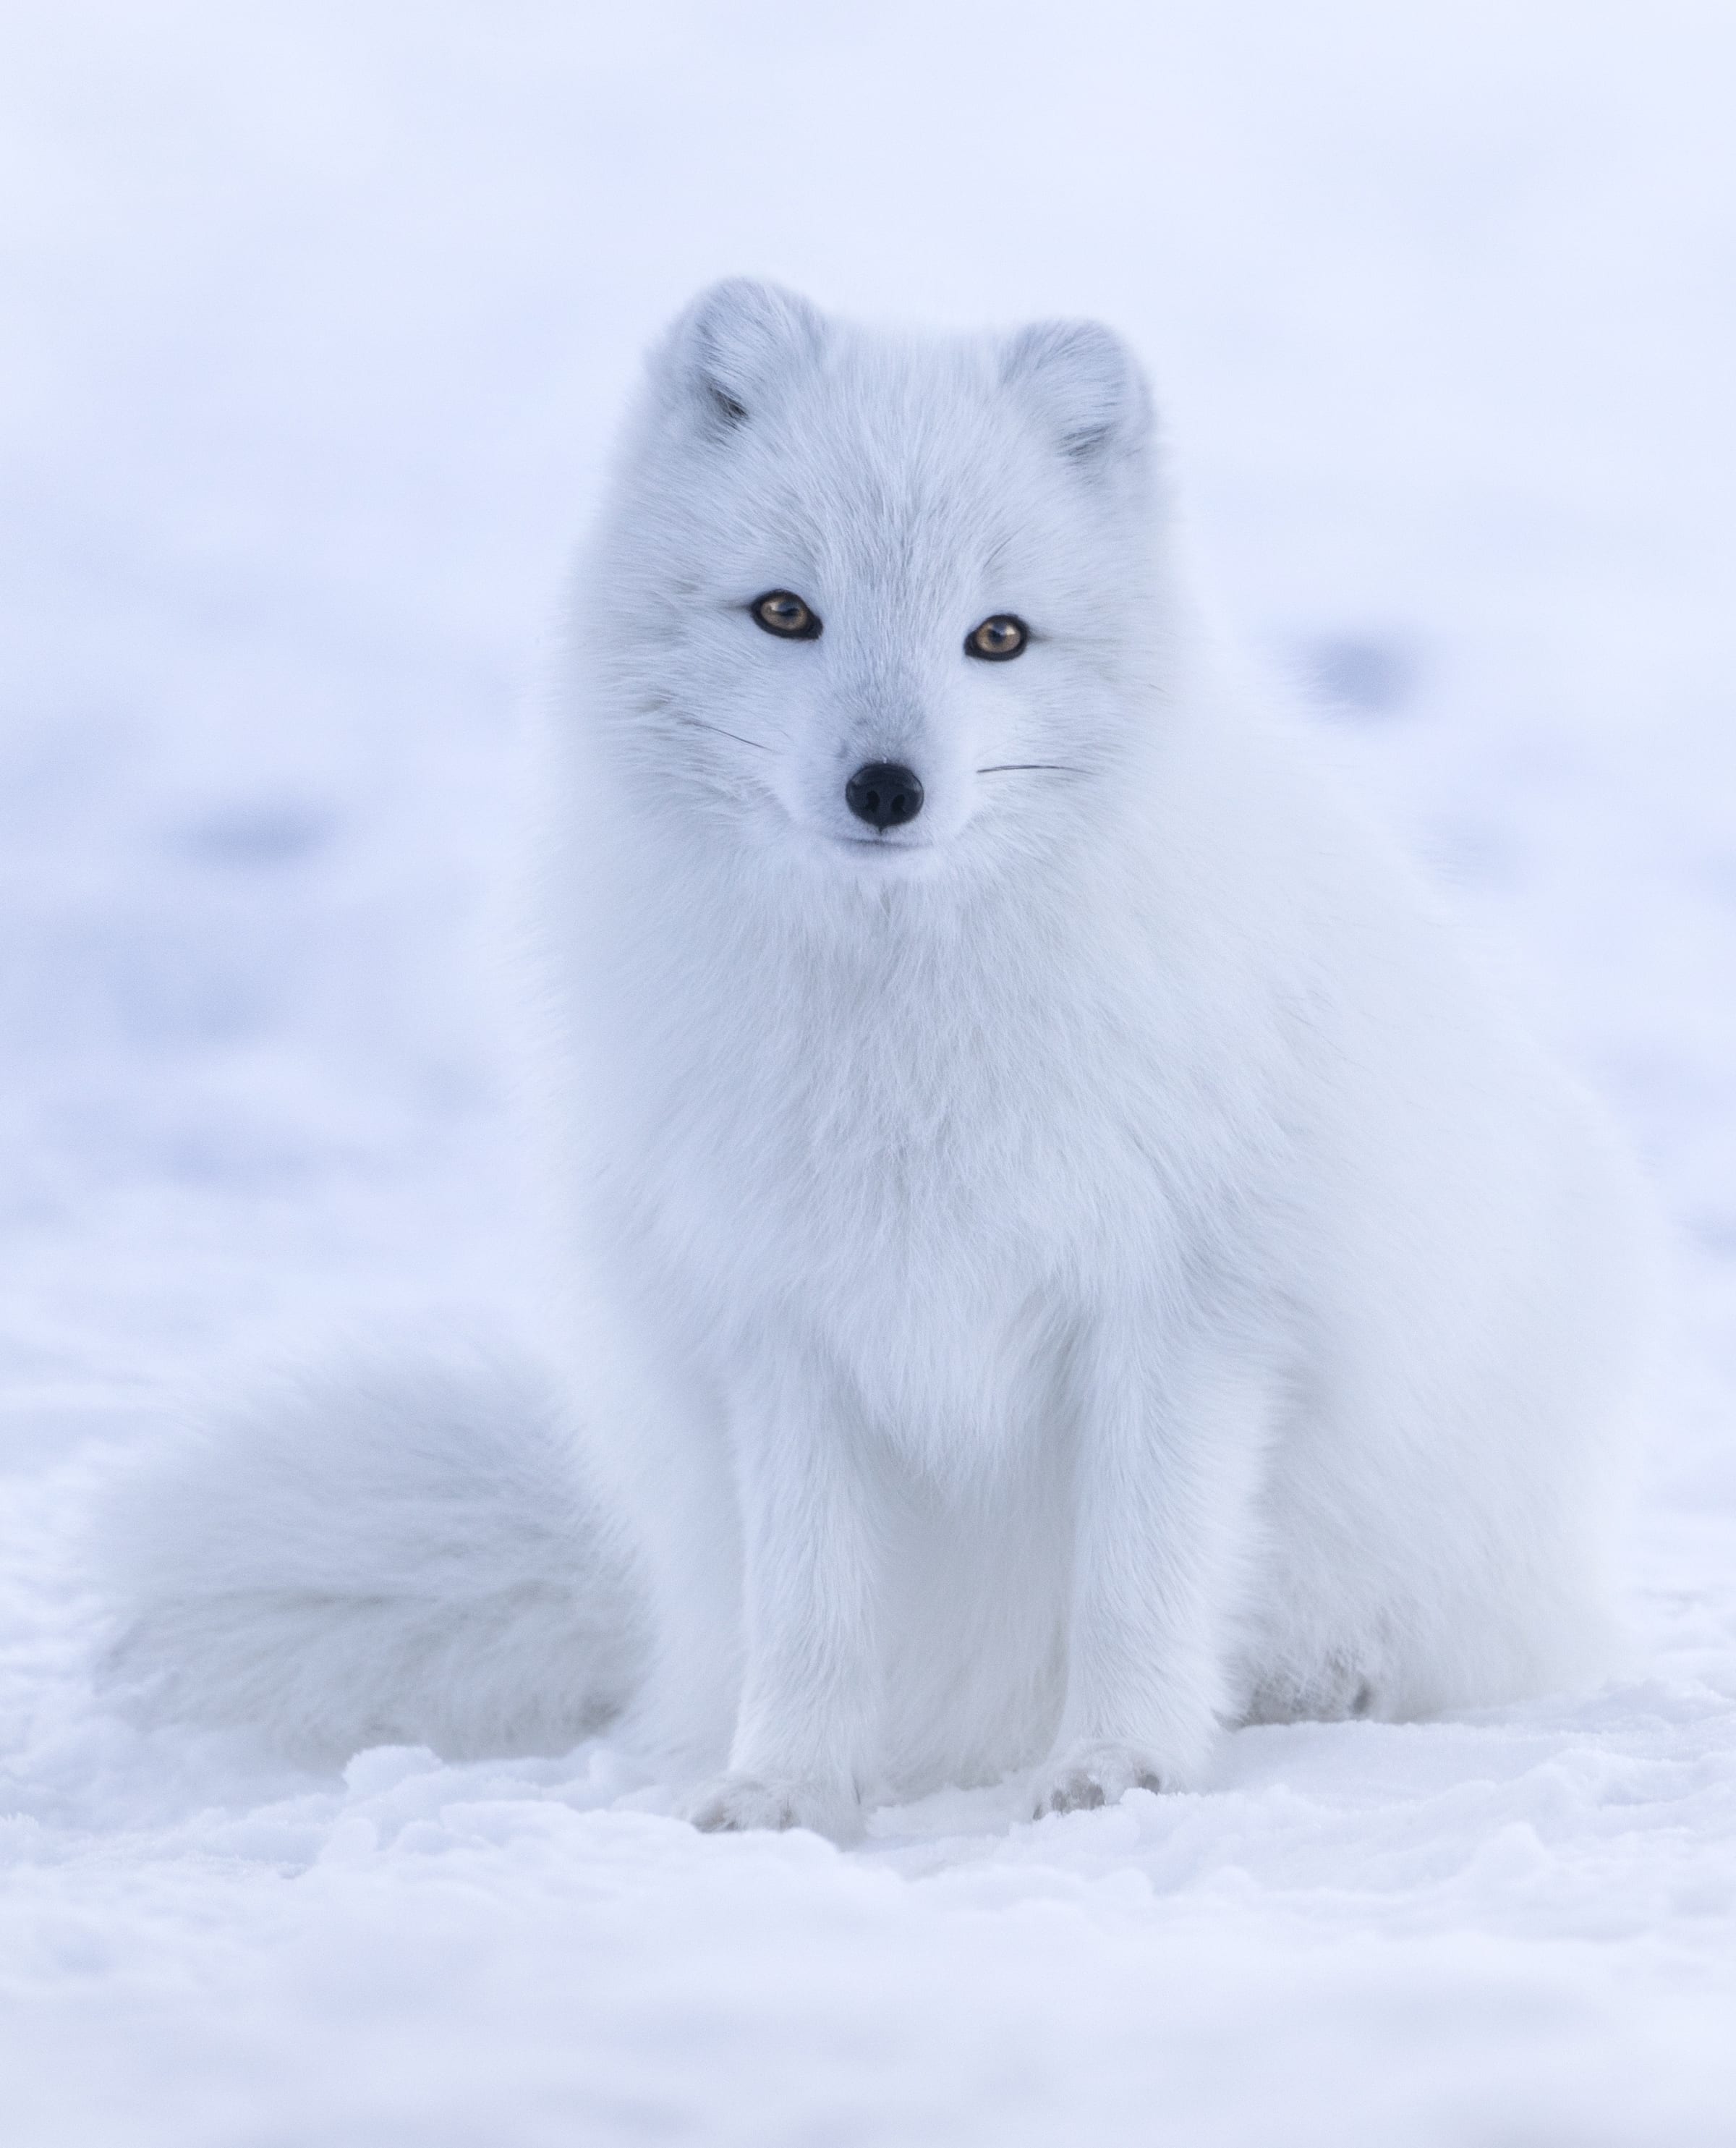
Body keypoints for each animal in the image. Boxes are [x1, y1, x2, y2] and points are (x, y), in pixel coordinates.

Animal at [102, 281, 1650, 1840]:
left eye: (999, 636)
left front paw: (1120, 1766)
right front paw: (784, 1787)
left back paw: (1324, 1678)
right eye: (788, 611)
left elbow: (1138, 1576)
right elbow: (813, 1608)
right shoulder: (783, 1319)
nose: (887, 788)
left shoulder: (1184, 1307)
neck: (902, 1026)